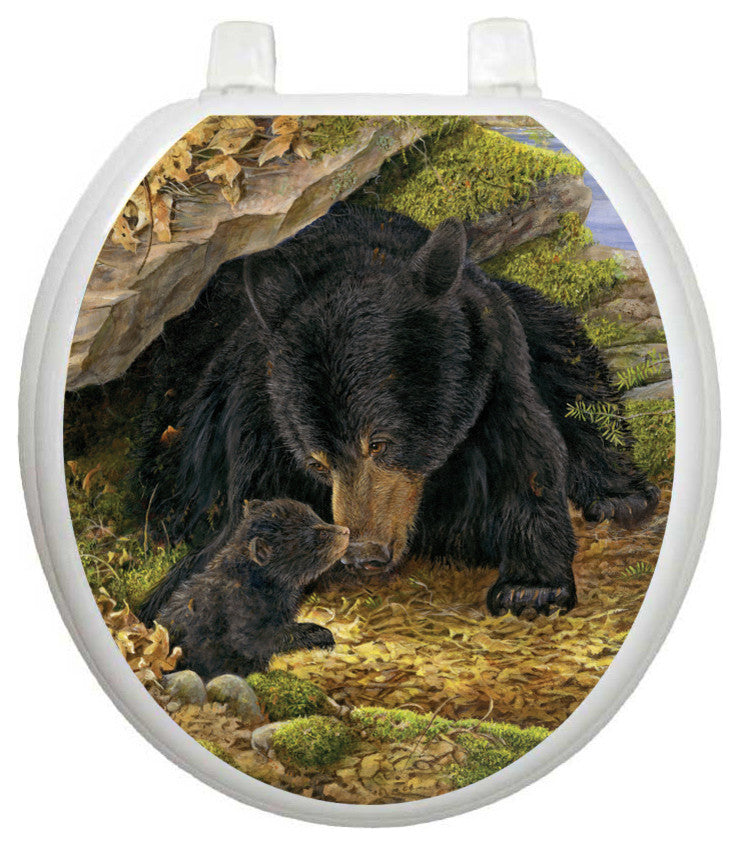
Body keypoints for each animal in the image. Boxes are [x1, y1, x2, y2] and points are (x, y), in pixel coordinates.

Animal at [135, 202, 658, 625]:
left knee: (572, 363)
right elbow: (245, 518)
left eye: (381, 443)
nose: (362, 553)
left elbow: (526, 457)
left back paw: (619, 495)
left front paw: (531, 587)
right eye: (316, 462)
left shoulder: (492, 374)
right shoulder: (260, 413)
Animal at [157, 499, 348, 680]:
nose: (346, 531)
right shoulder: (240, 610)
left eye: (317, 517)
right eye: (321, 534)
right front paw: (323, 635)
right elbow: (257, 642)